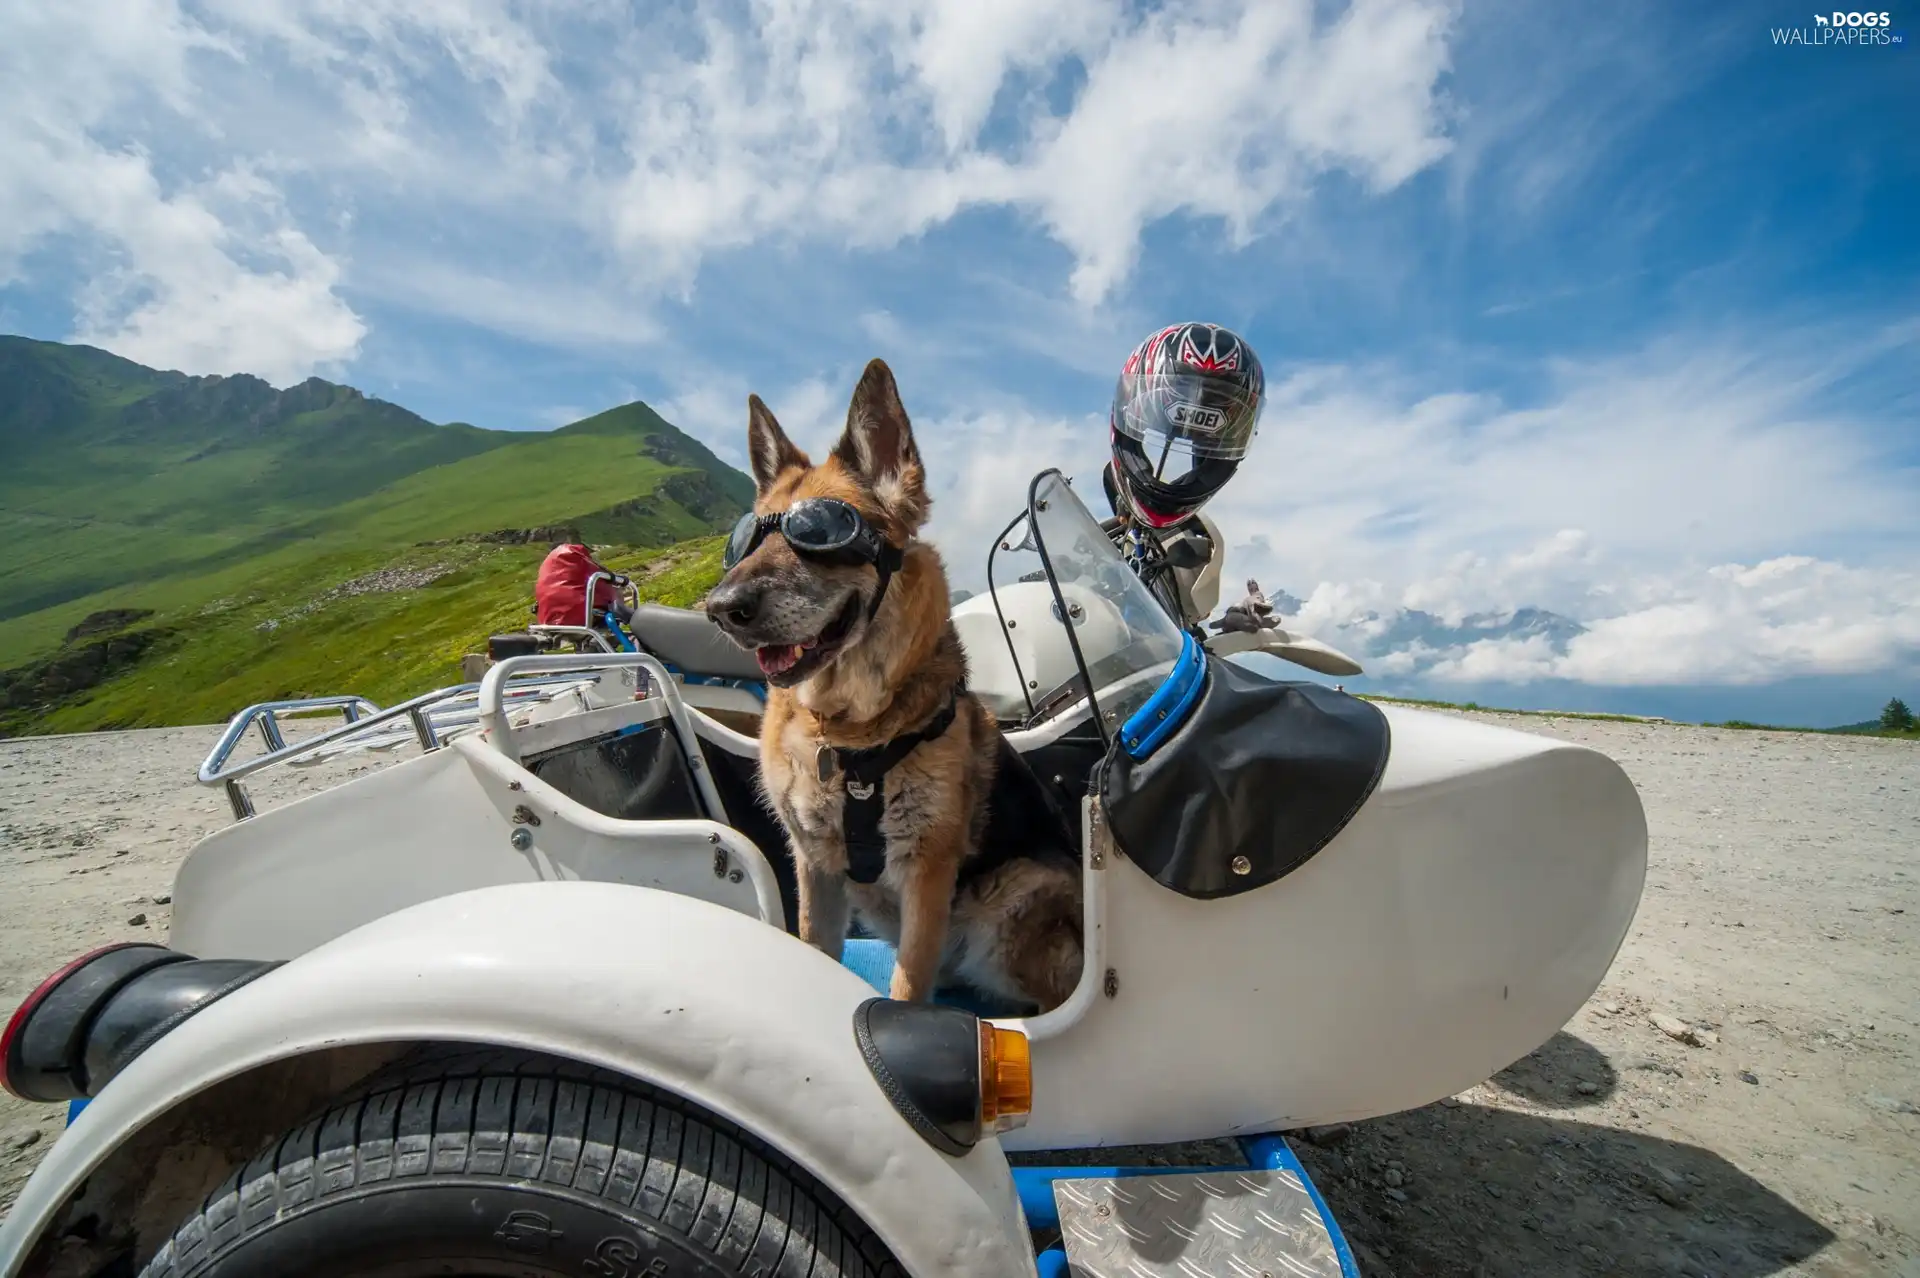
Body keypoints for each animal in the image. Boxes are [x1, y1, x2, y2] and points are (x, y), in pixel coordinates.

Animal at [706, 355, 1090, 1005]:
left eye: (820, 531)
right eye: (747, 539)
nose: (719, 608)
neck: (845, 732)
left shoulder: (925, 876)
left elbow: (908, 990)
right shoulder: (815, 868)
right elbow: (814, 951)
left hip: (1011, 905)